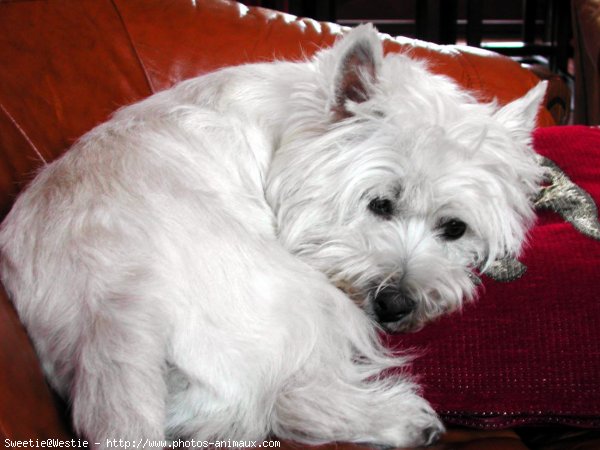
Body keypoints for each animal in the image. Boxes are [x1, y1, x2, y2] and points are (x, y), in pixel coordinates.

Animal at [0, 25, 544, 450]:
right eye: (380, 204)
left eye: (454, 228)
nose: (396, 305)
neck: (287, 133)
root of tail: (114, 298)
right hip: (306, 301)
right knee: (287, 399)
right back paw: (404, 420)